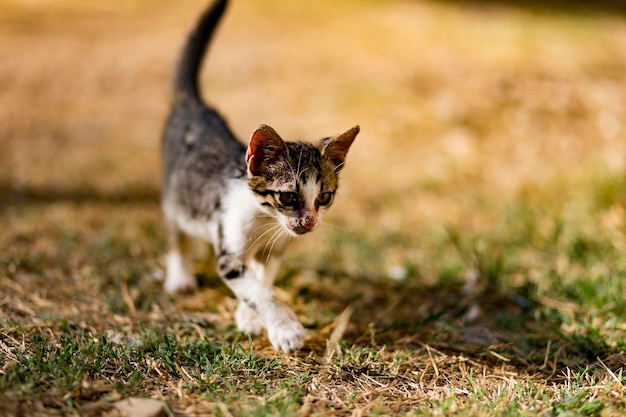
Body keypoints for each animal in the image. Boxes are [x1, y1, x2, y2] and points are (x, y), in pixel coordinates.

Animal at [158, 0, 358, 352]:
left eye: (324, 197)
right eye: (288, 197)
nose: (308, 223)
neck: (265, 220)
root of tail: (195, 105)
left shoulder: (274, 249)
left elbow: (261, 281)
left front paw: (250, 317)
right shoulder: (228, 250)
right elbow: (256, 289)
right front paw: (286, 328)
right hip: (174, 192)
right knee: (175, 229)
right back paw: (180, 276)